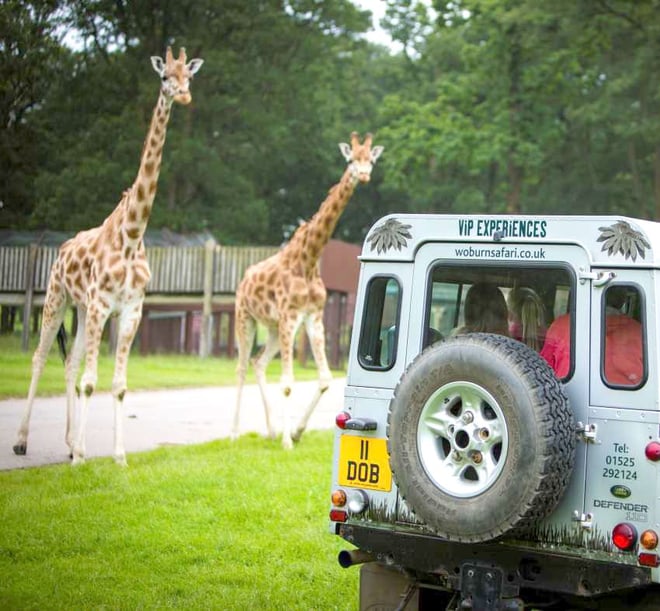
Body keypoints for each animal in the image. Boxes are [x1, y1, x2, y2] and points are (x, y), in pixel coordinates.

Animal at [13, 47, 203, 465]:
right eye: (164, 76)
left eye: (189, 76)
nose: (183, 96)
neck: (132, 234)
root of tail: (61, 249)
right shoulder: (102, 304)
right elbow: (90, 381)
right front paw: (86, 455)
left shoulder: (130, 310)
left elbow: (117, 384)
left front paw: (117, 456)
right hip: (56, 299)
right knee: (39, 357)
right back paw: (22, 441)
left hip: (82, 309)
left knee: (69, 362)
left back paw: (69, 442)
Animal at [233, 132, 384, 449]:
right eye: (352, 159)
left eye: (371, 160)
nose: (364, 175)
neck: (309, 259)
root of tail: (244, 279)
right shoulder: (291, 316)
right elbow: (288, 382)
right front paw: (288, 442)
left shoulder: (312, 317)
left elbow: (325, 379)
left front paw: (295, 432)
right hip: (246, 319)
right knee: (241, 367)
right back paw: (234, 432)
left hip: (273, 328)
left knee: (258, 362)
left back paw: (271, 430)